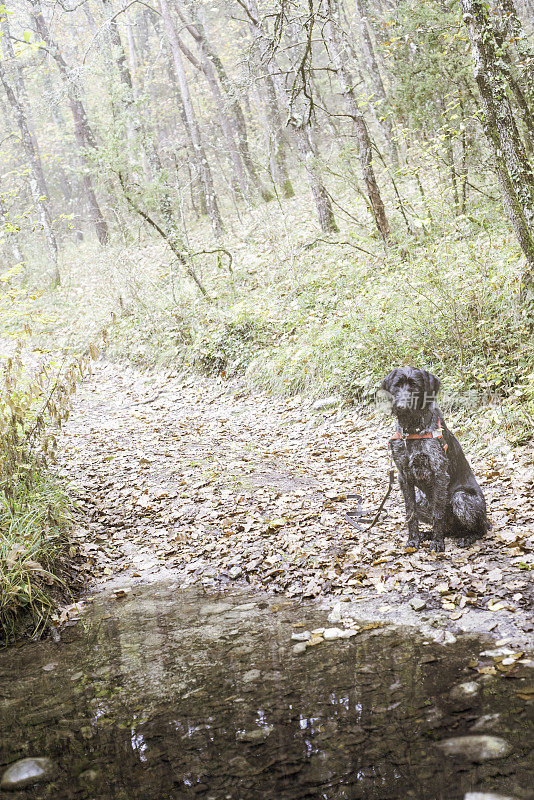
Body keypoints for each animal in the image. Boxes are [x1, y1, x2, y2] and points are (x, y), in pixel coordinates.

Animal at [382, 368, 490, 552]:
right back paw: (427, 534)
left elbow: (437, 514)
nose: (402, 407)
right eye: (397, 385)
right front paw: (414, 539)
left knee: (480, 528)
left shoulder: (439, 475)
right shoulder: (404, 477)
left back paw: (467, 537)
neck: (412, 430)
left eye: (415, 386)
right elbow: (410, 513)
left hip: (461, 498)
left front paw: (438, 542)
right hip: (421, 498)